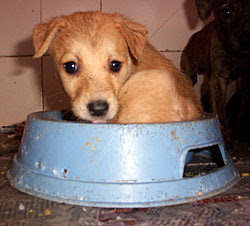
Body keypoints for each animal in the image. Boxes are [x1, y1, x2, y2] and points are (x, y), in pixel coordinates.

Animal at [182, 0, 250, 139]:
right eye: (226, 12)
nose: (247, 39)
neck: (237, 56)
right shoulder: (219, 79)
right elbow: (219, 110)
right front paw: (224, 136)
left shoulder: (247, 77)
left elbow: (244, 106)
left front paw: (240, 131)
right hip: (190, 74)